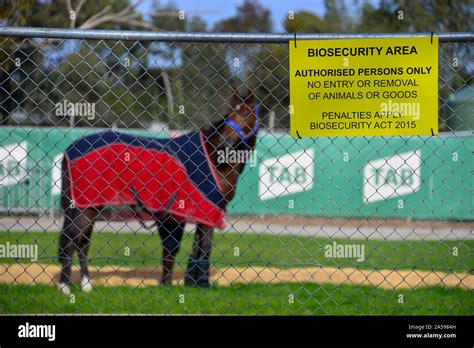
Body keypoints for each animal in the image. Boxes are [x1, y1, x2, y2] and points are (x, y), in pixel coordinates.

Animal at [58, 90, 260, 294]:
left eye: (245, 113)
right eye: (229, 114)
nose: (225, 142)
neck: (214, 158)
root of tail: (70, 149)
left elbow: (187, 247)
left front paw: (183, 283)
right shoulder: (204, 212)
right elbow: (200, 246)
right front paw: (198, 284)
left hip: (90, 206)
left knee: (82, 243)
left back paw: (86, 285)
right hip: (85, 207)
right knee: (71, 242)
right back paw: (64, 287)